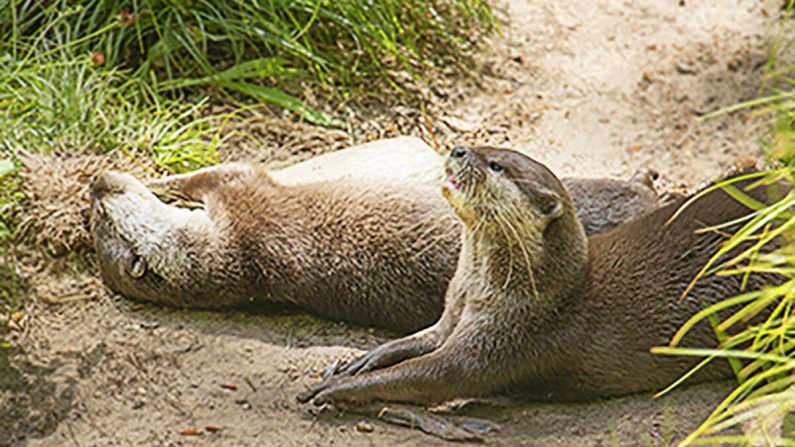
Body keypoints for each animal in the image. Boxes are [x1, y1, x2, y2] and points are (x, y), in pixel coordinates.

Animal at [88, 142, 660, 334]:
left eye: (96, 211)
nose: (95, 183)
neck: (235, 254)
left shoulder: (240, 197)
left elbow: (201, 175)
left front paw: (155, 177)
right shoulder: (244, 197)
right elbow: (221, 171)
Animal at [300, 146, 784, 406]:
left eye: (496, 166)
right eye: (484, 146)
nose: (458, 149)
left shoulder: (509, 336)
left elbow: (433, 373)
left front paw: (336, 388)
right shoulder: (455, 312)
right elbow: (419, 340)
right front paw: (362, 359)